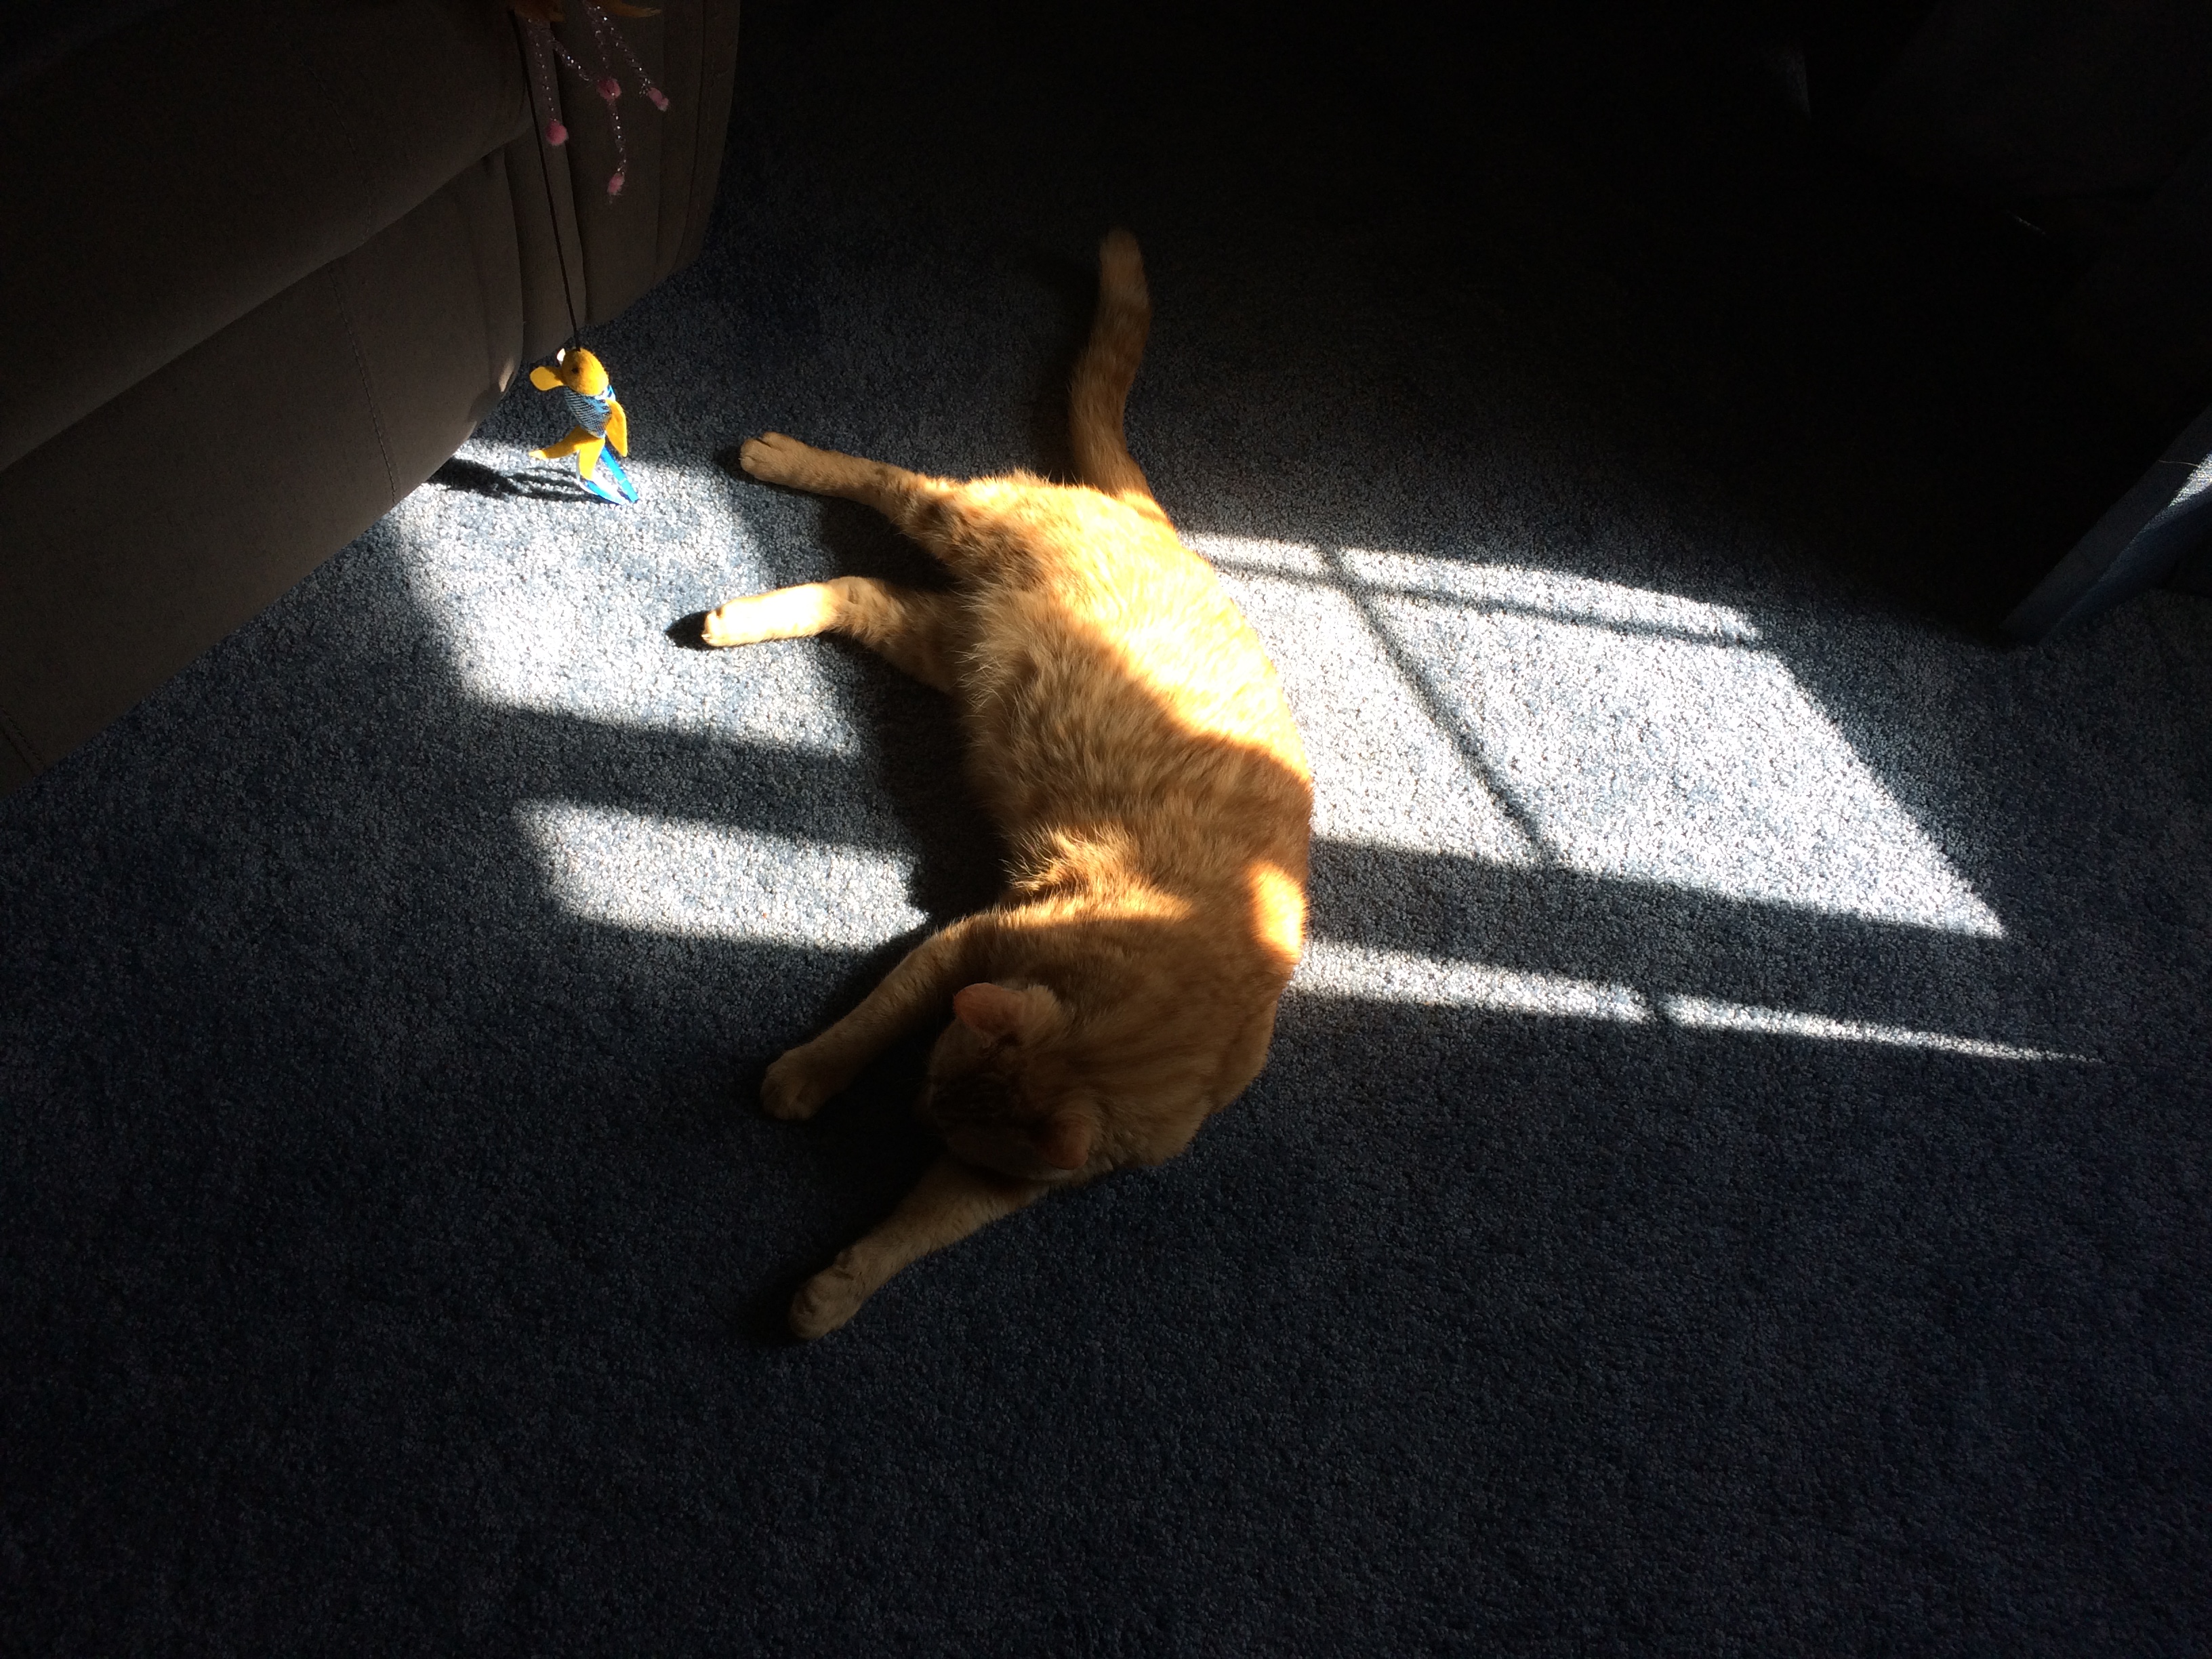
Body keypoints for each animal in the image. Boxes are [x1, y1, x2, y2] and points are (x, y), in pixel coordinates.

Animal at [704, 230, 1312, 1339]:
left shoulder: (1012, 1172)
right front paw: (809, 1075)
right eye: (930, 1083)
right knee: (890, 480)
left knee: (858, 588)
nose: (913, 1113)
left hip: (944, 644)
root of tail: (1161, 527)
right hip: (970, 522)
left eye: (943, 1115)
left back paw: (742, 616)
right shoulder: (968, 944)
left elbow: (921, 1229)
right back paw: (779, 459)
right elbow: (865, 1023)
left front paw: (838, 1289)